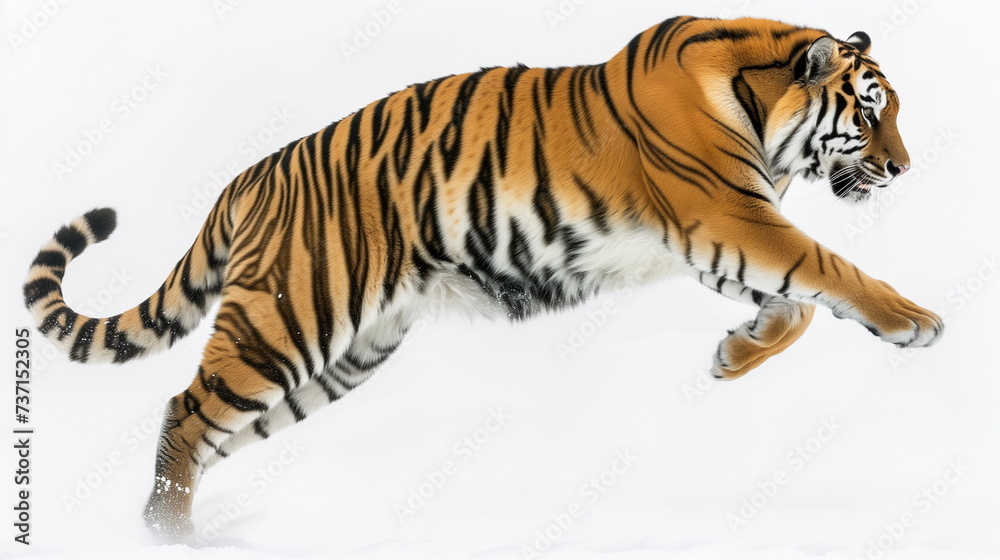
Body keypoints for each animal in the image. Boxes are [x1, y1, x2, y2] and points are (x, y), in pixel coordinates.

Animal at [23, 16, 943, 541]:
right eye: (869, 110)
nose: (905, 168)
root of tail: (249, 176)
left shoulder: (720, 236)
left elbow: (800, 308)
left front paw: (735, 352)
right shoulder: (728, 216)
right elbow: (830, 271)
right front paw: (918, 321)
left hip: (340, 358)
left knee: (210, 428)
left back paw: (178, 532)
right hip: (287, 321)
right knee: (185, 411)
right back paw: (166, 538)